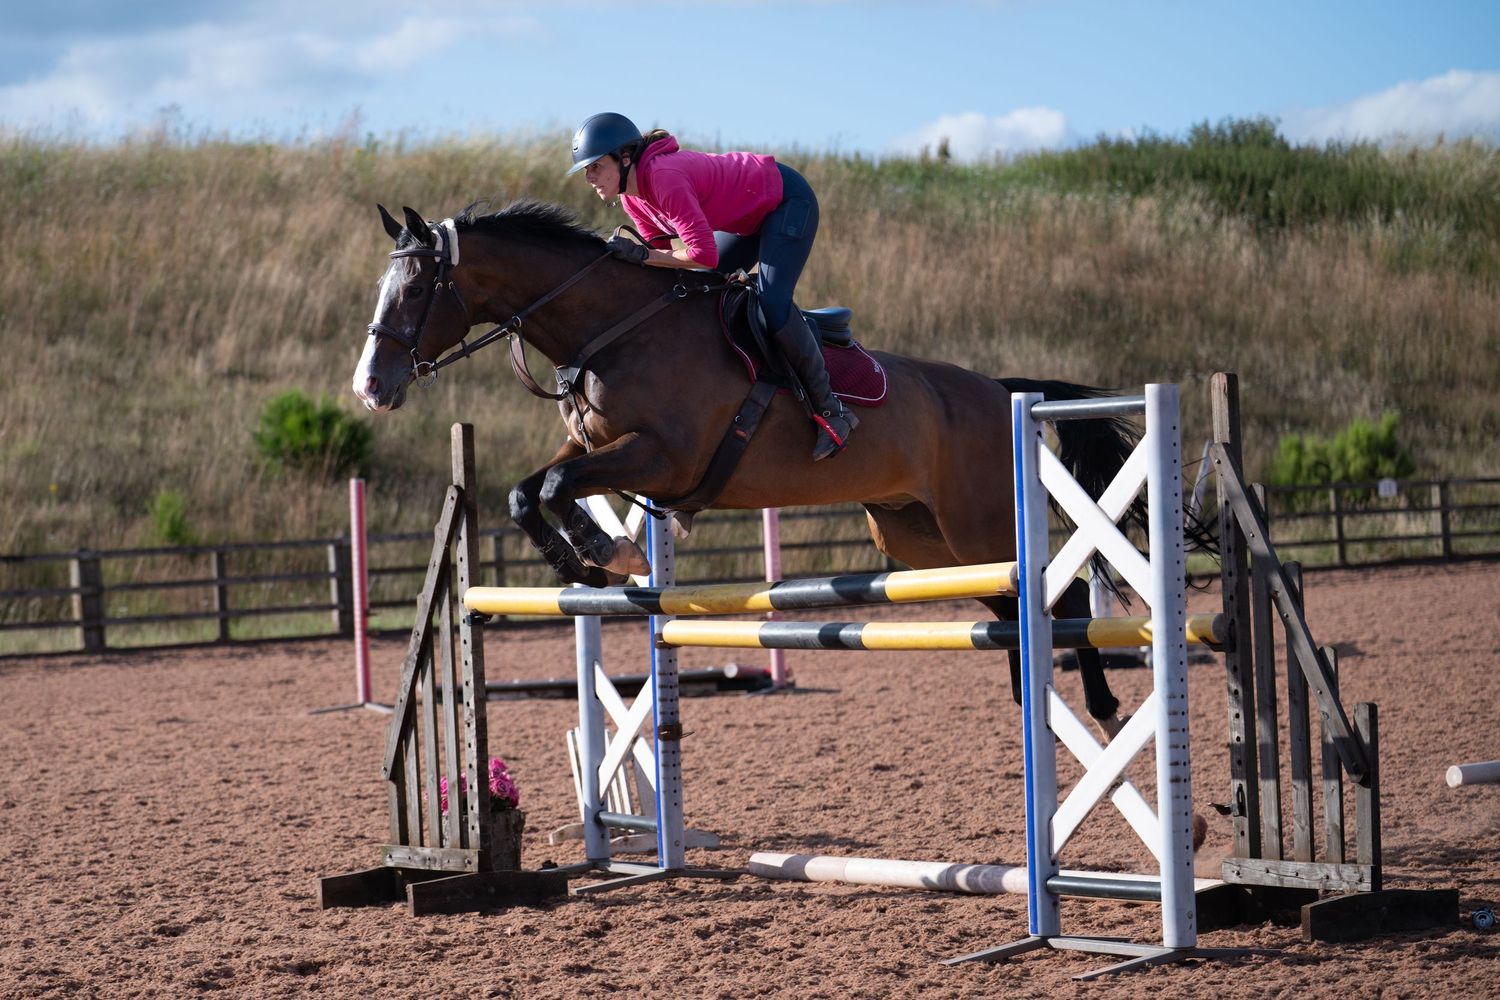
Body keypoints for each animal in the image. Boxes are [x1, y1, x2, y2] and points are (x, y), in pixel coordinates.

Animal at [353, 200, 1155, 729]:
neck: (612, 329)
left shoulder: (661, 457)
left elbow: (550, 486)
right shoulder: (596, 449)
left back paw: (1102, 709)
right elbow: (530, 490)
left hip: (980, 527)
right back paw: (1035, 707)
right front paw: (590, 561)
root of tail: (1002, 391)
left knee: (1064, 604)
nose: (370, 387)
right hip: (921, 540)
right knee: (1015, 608)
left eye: (417, 289)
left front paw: (605, 552)